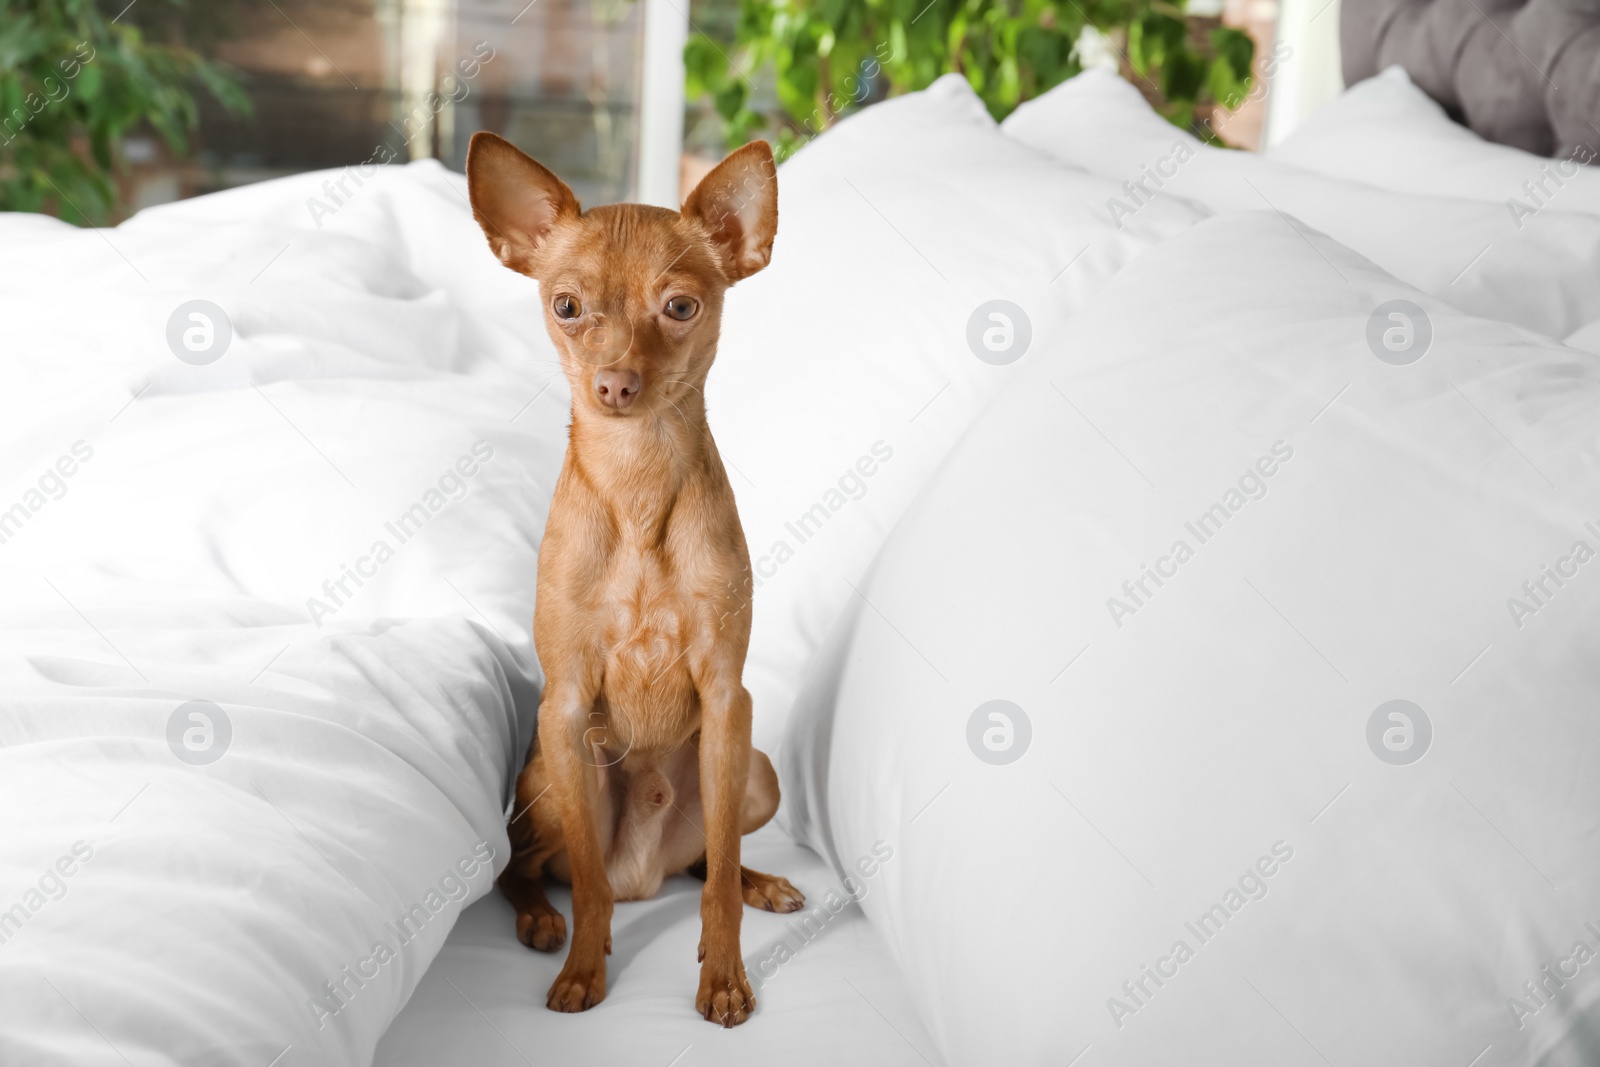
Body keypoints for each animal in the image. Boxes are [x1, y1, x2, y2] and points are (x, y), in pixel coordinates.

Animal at [467, 133, 806, 1023]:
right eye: (566, 307)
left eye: (680, 308)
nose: (616, 383)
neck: (639, 481)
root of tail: (644, 872)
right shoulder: (565, 706)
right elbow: (587, 883)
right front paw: (584, 969)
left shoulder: (727, 699)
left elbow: (716, 886)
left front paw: (724, 976)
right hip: (553, 779)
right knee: (527, 868)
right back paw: (541, 919)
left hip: (753, 771)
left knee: (704, 862)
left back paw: (760, 881)